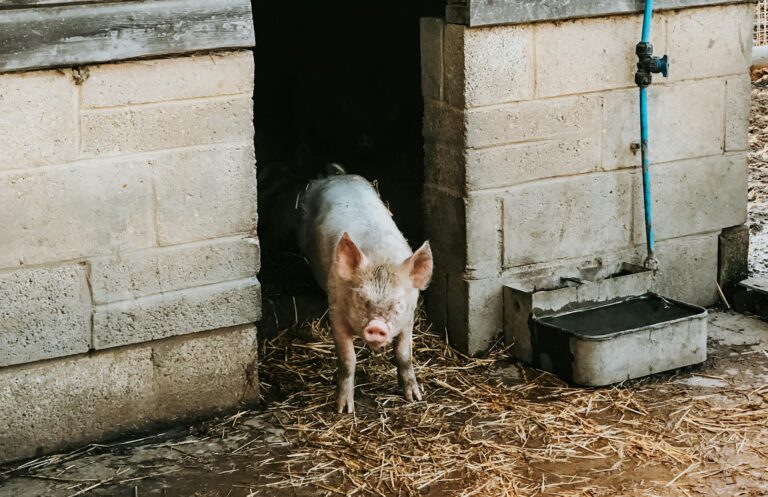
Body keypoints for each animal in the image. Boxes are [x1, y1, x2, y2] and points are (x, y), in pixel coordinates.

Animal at [296, 166, 432, 410]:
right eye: (360, 297)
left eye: (398, 302)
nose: (376, 326)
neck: (381, 258)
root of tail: (337, 176)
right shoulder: (336, 312)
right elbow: (348, 360)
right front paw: (343, 409)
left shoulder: (409, 317)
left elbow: (403, 355)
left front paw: (415, 397)